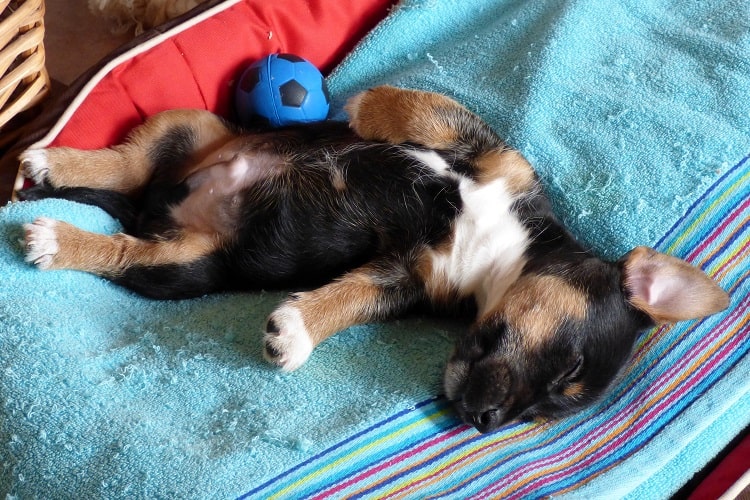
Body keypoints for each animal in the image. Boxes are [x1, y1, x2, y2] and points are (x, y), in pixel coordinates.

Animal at [20, 87, 732, 434]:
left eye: (545, 412)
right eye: (571, 370)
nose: (484, 424)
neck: (502, 254)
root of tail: (159, 205)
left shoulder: (402, 278)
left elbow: (348, 299)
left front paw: (295, 333)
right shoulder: (498, 159)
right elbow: (428, 110)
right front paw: (362, 106)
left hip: (187, 263)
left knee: (123, 247)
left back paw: (61, 232)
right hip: (191, 127)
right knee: (124, 165)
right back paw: (51, 165)